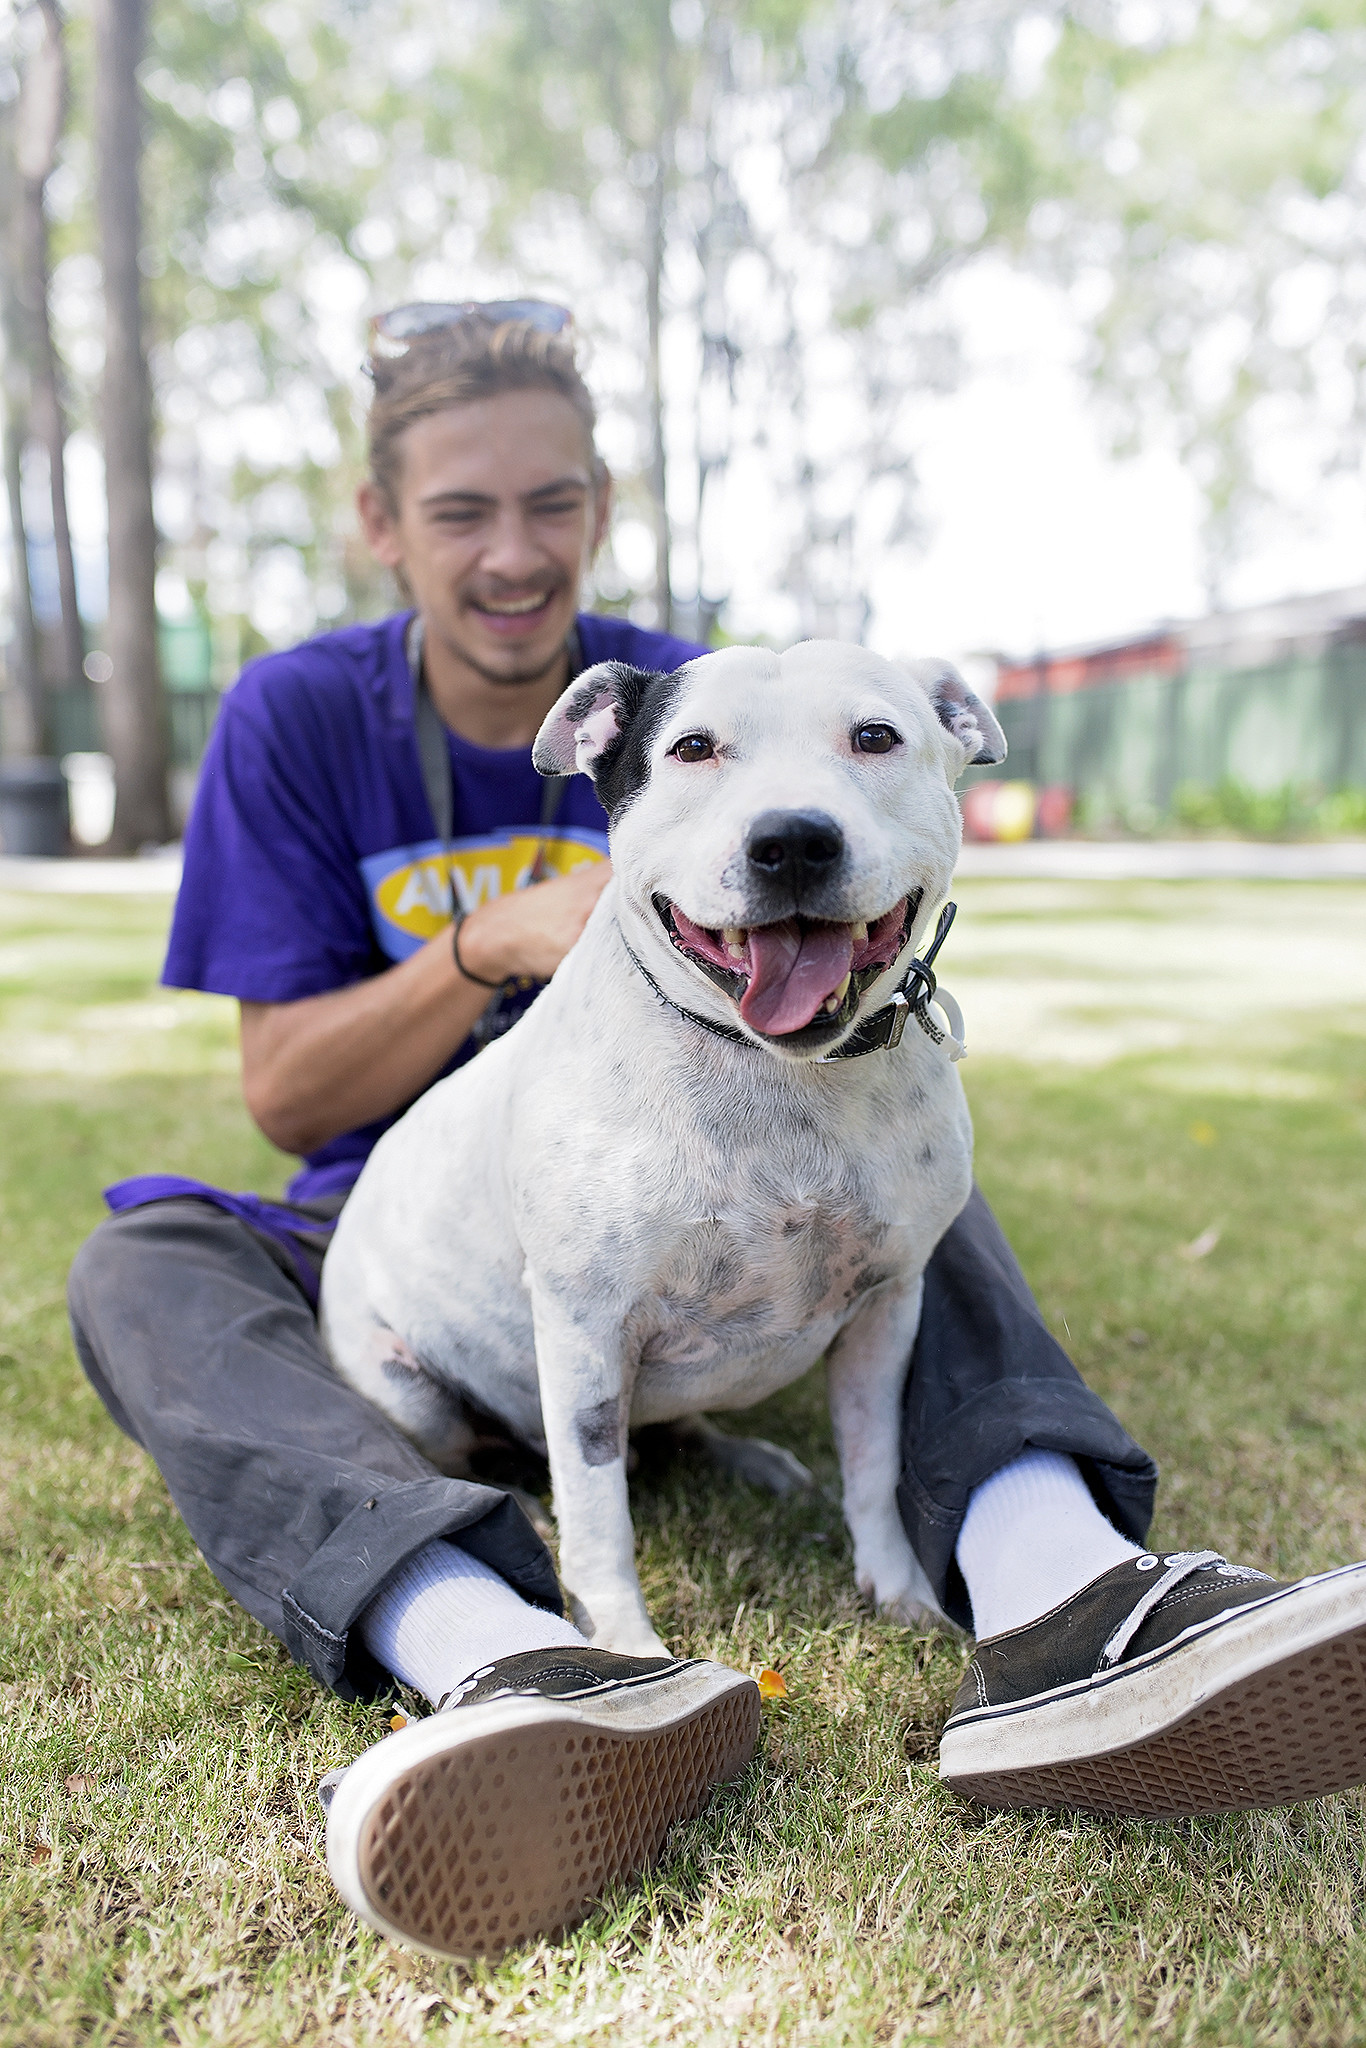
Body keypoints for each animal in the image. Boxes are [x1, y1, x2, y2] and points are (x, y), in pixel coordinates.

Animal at [320, 640, 1006, 1654]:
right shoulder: (586, 1332)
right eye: (692, 748)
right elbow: (598, 1512)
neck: (774, 1075)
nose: (792, 840)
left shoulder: (888, 1307)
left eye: (876, 737)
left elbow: (873, 1463)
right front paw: (626, 1645)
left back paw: (744, 1457)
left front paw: (897, 1589)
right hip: (407, 1387)